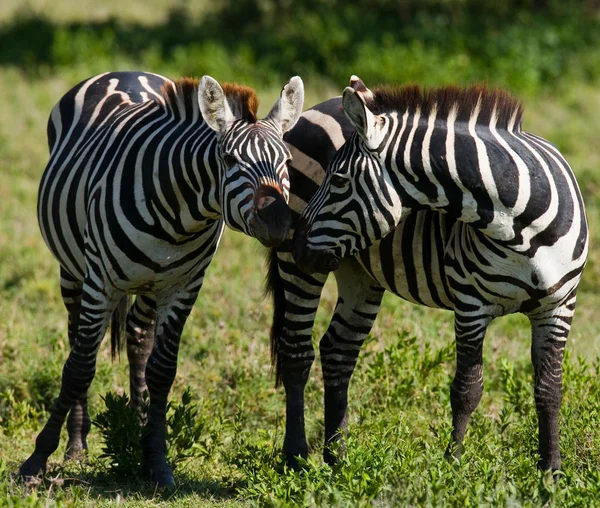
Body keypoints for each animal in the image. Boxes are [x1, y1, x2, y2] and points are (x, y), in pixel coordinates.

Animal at [19, 70, 304, 484]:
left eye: (287, 160)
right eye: (229, 159)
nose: (280, 222)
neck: (181, 218)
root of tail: (122, 72)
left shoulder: (183, 287)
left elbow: (162, 371)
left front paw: (155, 459)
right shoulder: (100, 282)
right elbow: (79, 366)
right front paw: (38, 457)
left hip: (150, 285)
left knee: (138, 339)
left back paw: (136, 426)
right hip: (73, 271)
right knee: (77, 341)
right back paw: (77, 443)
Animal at [270, 76, 588, 472]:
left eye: (339, 179)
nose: (298, 246)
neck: (523, 229)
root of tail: (319, 106)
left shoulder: (559, 306)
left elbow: (550, 389)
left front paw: (551, 471)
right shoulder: (471, 304)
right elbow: (467, 389)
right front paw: (453, 467)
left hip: (357, 271)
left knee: (338, 351)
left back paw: (337, 457)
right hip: (302, 273)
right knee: (296, 351)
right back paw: (296, 456)